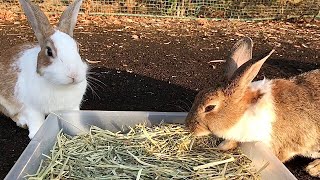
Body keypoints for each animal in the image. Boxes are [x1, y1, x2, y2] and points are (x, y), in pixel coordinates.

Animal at [0, 0, 87, 139]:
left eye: (77, 47)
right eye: (49, 51)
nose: (74, 75)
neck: (60, 85)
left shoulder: (73, 108)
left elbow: (74, 120)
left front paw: (80, 130)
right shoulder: (31, 108)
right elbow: (36, 121)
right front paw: (36, 135)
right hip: (6, 104)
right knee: (11, 114)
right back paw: (22, 122)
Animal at [185, 37, 320, 177]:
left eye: (210, 107)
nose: (188, 126)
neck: (243, 111)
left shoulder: (284, 144)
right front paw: (221, 147)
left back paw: (312, 168)